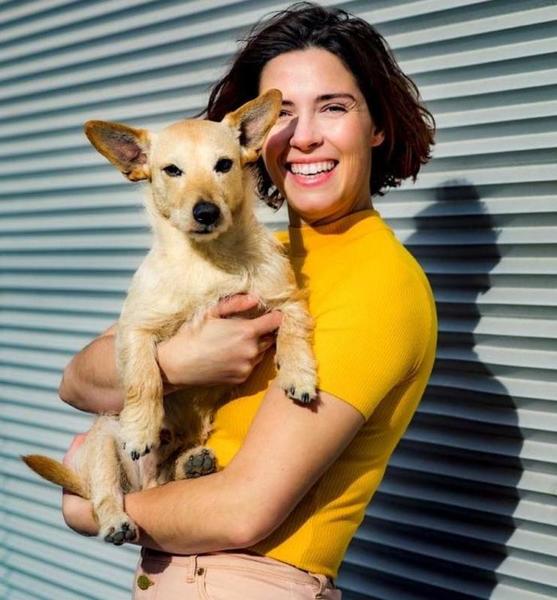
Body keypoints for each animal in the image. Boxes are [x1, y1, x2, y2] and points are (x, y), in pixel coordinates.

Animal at [23, 89, 317, 545]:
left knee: (166, 476)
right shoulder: (135, 329)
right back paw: (118, 517)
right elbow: (143, 376)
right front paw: (142, 428)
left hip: (174, 457)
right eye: (172, 170)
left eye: (224, 164)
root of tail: (142, 484)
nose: (206, 212)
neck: (209, 261)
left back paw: (190, 463)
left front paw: (299, 375)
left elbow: (294, 331)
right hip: (103, 444)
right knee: (106, 493)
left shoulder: (286, 298)